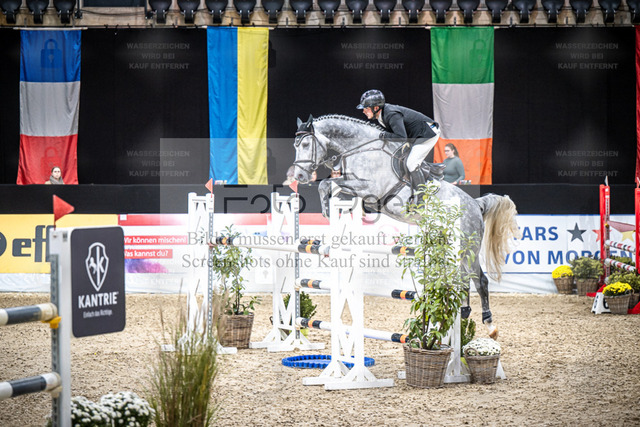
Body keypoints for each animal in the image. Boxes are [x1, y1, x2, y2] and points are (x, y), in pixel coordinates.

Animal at [291, 114, 520, 339]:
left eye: (306, 144)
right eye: (295, 145)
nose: (299, 177)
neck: (361, 149)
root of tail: (476, 205)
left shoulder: (368, 187)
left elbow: (327, 184)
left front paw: (328, 211)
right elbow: (331, 186)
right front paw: (334, 211)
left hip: (467, 247)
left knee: (479, 280)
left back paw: (489, 325)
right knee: (464, 280)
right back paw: (463, 314)